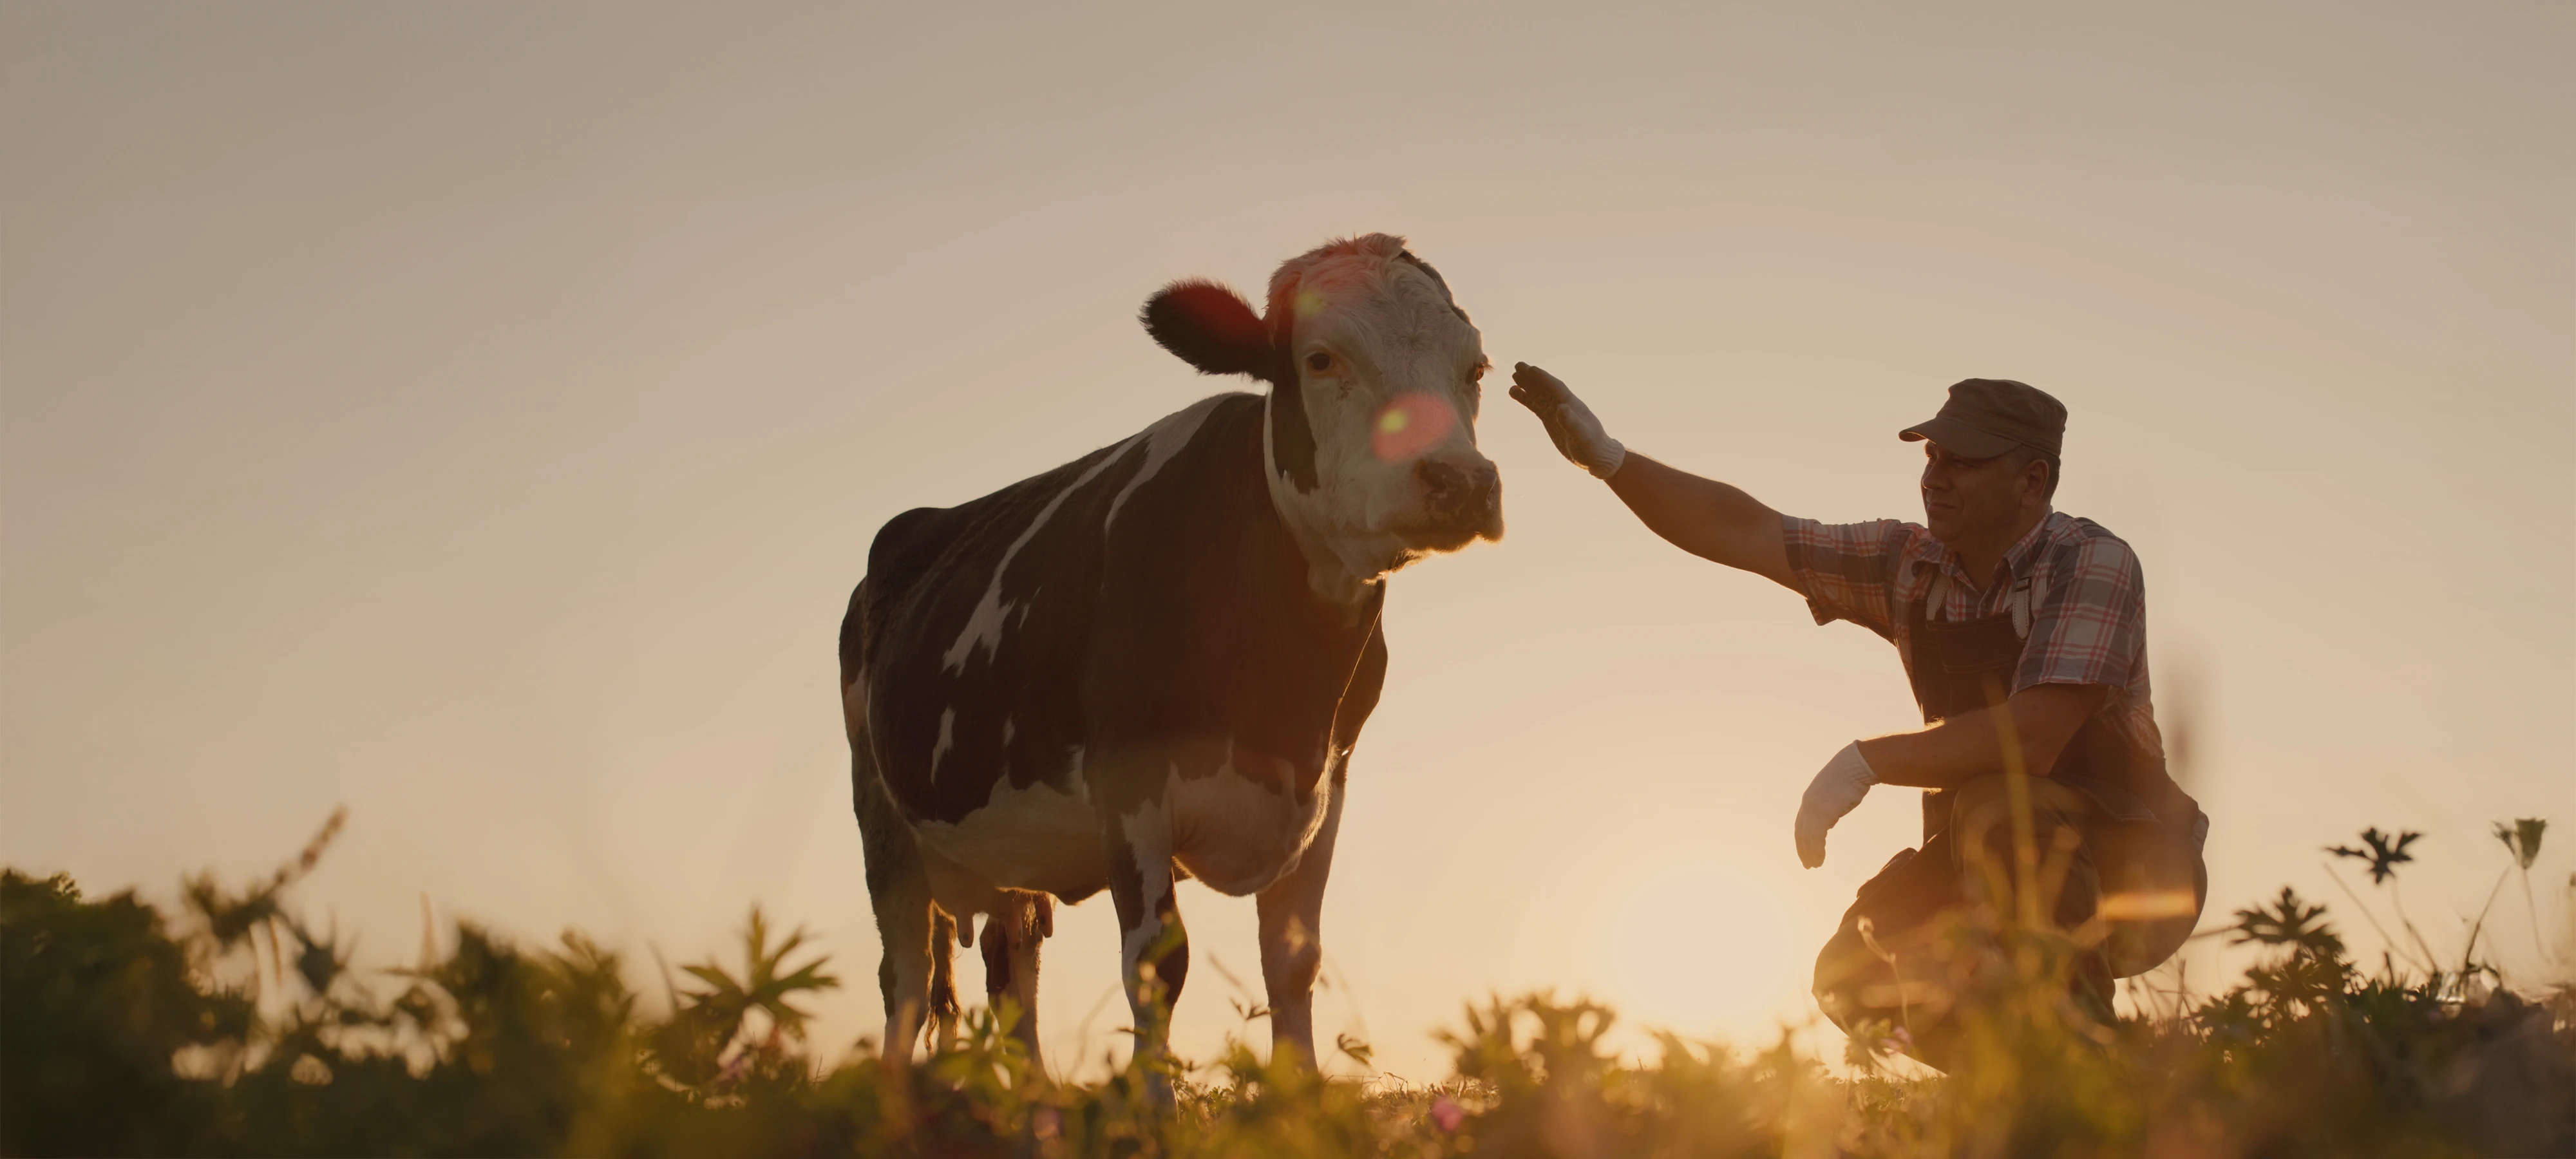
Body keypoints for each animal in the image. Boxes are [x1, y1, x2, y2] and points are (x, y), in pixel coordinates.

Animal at [837, 234, 1500, 1090]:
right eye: (1321, 359)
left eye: (1475, 367)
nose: (1461, 482)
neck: (1284, 686)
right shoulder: (1129, 785)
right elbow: (1157, 964)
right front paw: (1155, 1106)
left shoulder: (1327, 783)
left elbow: (1293, 961)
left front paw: (1296, 1101)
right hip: (882, 818)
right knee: (908, 979)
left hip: (1006, 844)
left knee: (1010, 966)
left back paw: (1036, 1100)